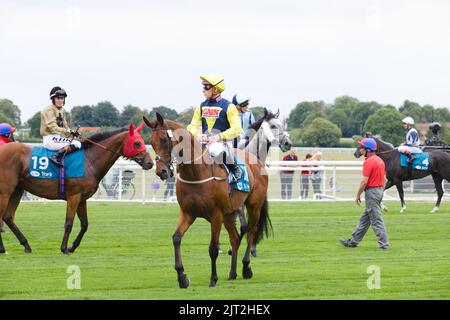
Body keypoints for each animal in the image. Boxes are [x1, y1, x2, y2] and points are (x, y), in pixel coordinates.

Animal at [0, 123, 153, 255]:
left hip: (17, 190)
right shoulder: (74, 196)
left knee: (8, 217)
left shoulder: (82, 198)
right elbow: (69, 223)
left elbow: (85, 224)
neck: (89, 160)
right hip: (5, 192)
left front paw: (72, 246)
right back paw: (3, 249)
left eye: (142, 141)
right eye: (137, 143)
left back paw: (26, 245)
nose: (150, 163)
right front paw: (64, 248)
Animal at [144, 113, 270, 288]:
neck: (196, 173)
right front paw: (182, 277)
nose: (161, 171)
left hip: (253, 206)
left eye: (164, 139)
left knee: (251, 231)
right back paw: (232, 273)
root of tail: (257, 160)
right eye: (152, 141)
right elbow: (176, 238)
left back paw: (246, 268)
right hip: (229, 213)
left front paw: (213, 278)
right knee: (235, 238)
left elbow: (213, 248)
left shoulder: (216, 215)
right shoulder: (187, 213)